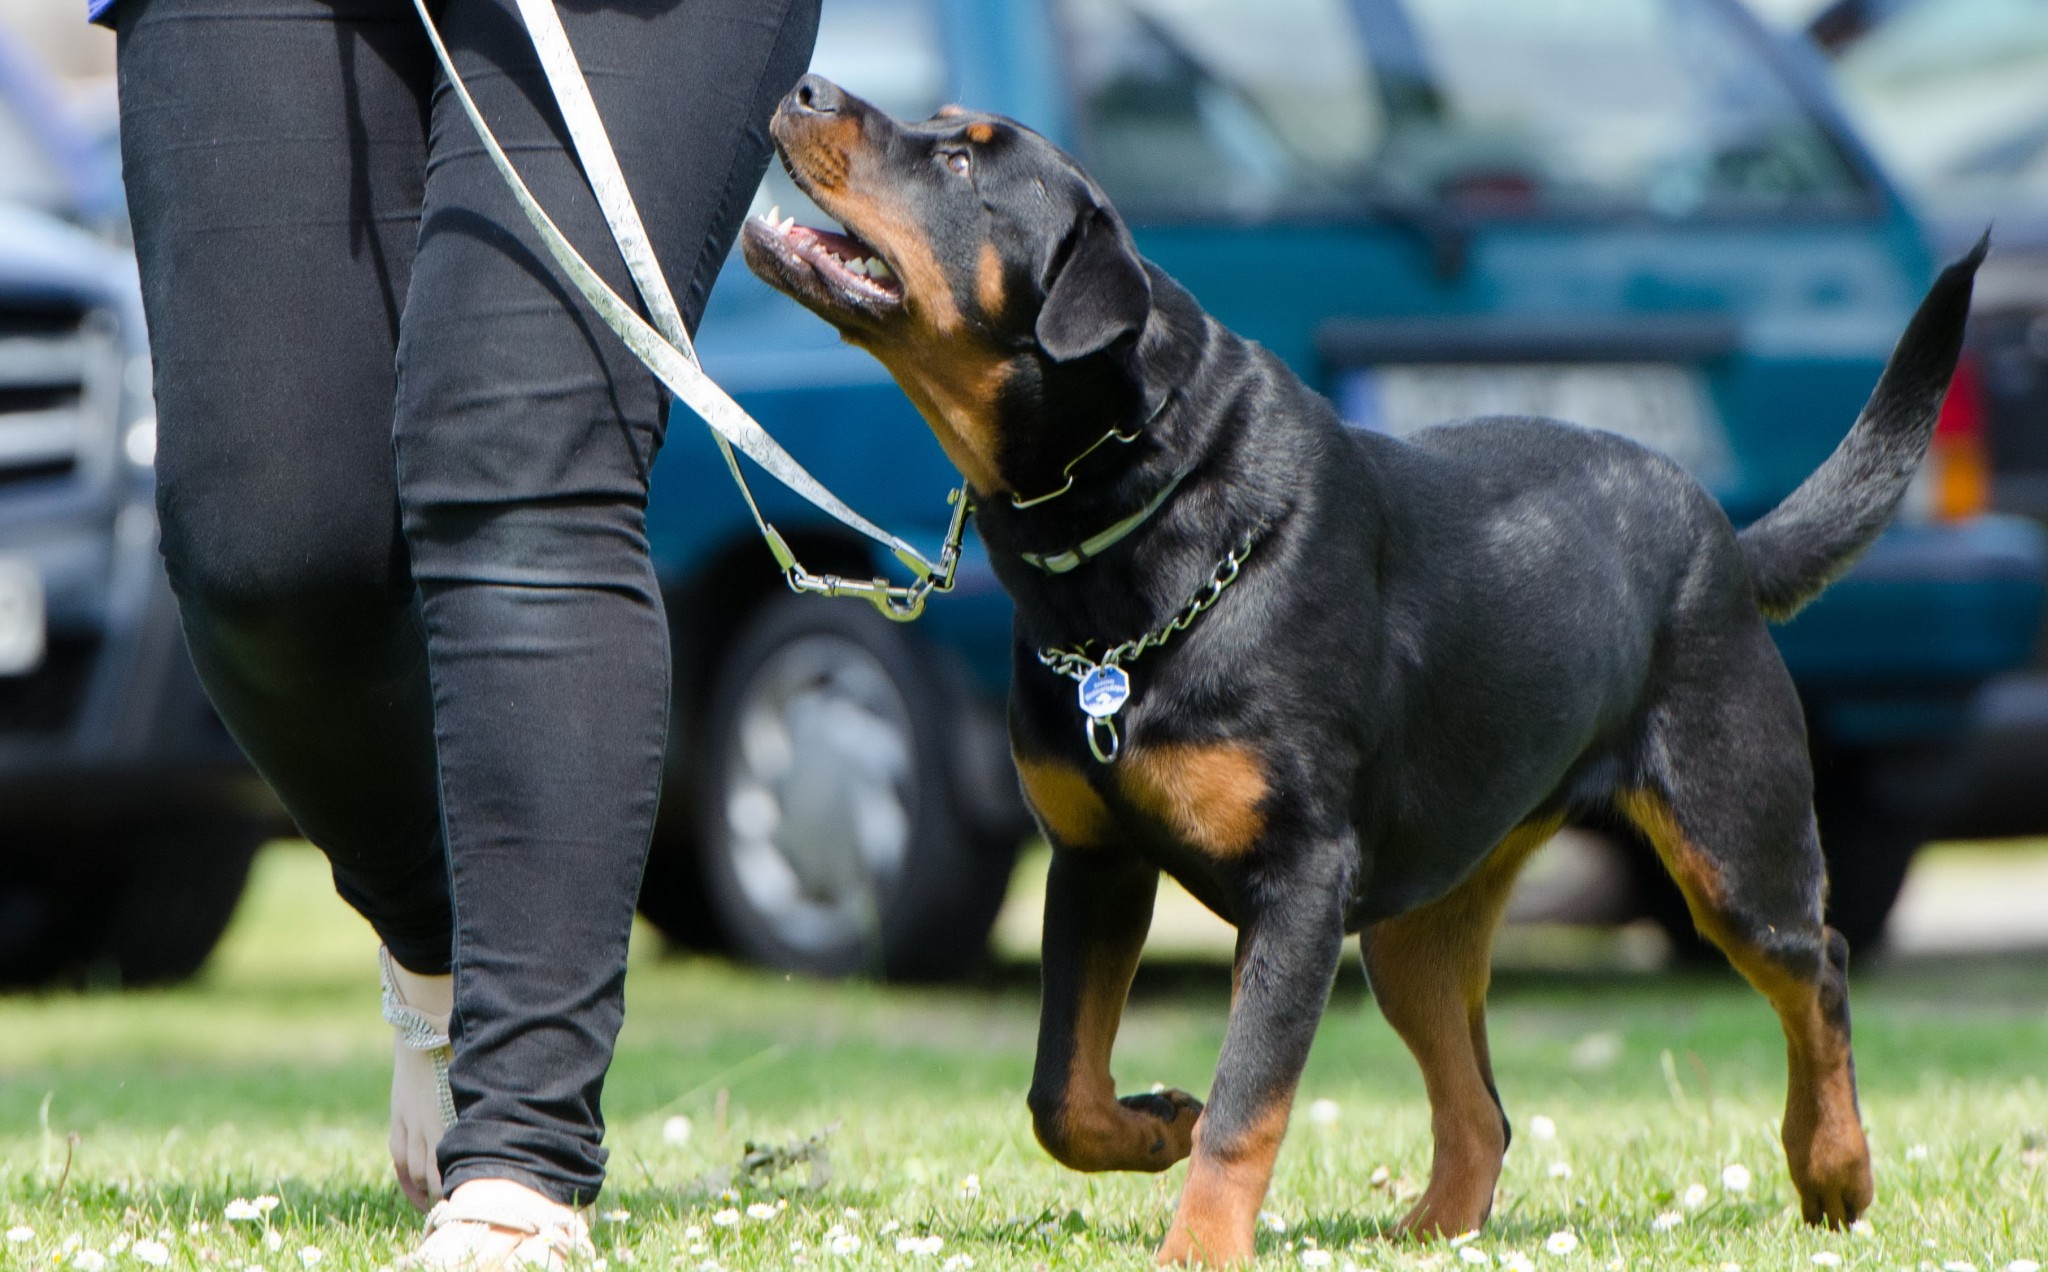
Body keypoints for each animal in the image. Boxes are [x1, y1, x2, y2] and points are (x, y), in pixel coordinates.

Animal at [749, 74, 1982, 1261]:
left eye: (962, 162)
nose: (807, 88)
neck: (1133, 525)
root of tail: (1727, 538)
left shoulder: (1298, 884)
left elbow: (1247, 1104)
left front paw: (1198, 1246)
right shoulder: (1094, 859)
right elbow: (1063, 1093)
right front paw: (1155, 1125)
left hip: (1731, 835)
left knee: (1815, 967)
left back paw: (1833, 1169)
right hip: (1414, 925)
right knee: (1481, 1107)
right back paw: (1432, 1231)